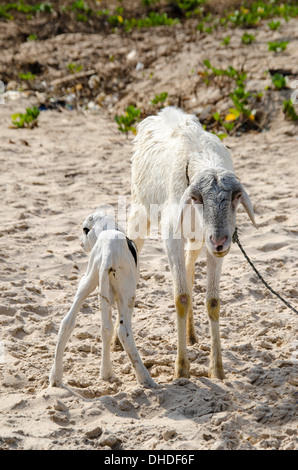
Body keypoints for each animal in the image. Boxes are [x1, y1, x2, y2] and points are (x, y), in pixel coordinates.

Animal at [50, 211, 157, 388]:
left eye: (85, 230)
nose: (81, 244)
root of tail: (109, 249)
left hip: (88, 281)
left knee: (70, 322)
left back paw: (57, 377)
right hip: (127, 293)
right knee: (123, 331)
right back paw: (145, 379)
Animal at [127, 107, 258, 382]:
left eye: (236, 197)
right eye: (196, 197)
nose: (219, 240)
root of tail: (164, 112)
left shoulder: (213, 246)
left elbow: (213, 301)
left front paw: (217, 369)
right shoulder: (171, 235)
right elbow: (181, 298)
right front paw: (181, 369)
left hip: (197, 239)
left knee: (188, 269)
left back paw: (191, 334)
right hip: (139, 211)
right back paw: (115, 340)